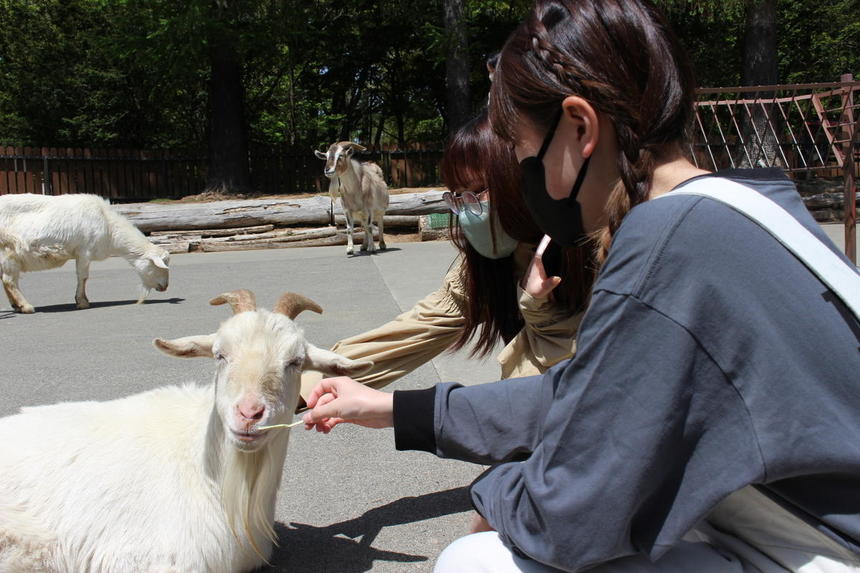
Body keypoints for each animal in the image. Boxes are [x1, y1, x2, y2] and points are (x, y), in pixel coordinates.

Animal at [0, 193, 170, 312]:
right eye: (159, 265)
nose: (165, 287)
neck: (109, 226)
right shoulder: (84, 251)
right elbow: (83, 277)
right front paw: (82, 302)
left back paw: (17, 306)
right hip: (8, 251)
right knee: (9, 280)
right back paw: (26, 306)